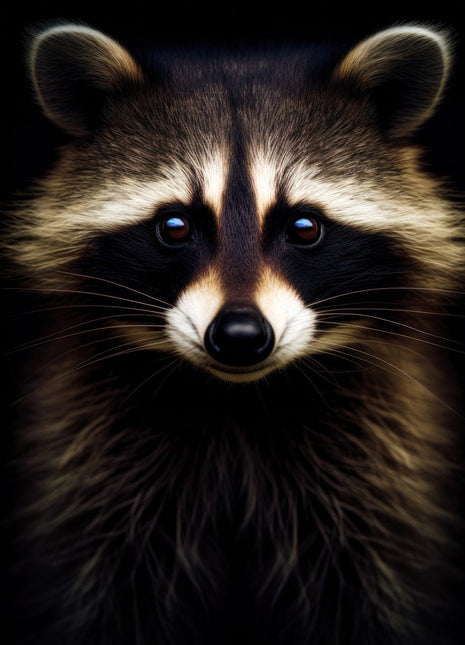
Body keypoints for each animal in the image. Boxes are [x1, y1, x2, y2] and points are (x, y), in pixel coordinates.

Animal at [3, 21, 465, 645]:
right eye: (174, 226)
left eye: (304, 226)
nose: (241, 335)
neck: (238, 404)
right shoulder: (96, 464)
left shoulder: (376, 466)